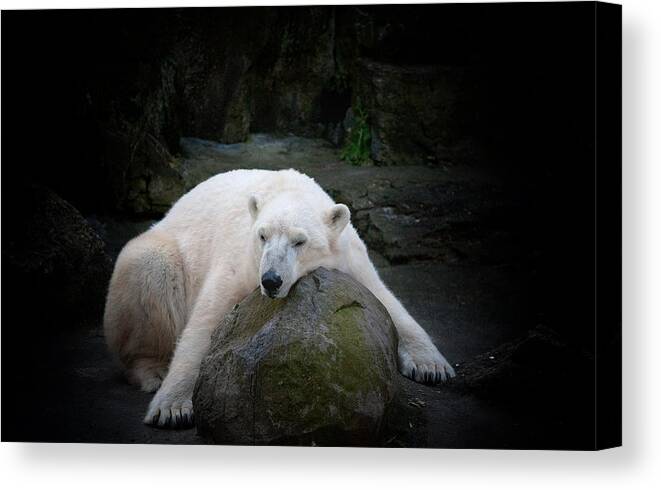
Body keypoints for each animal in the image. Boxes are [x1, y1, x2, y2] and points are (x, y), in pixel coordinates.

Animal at [104, 169, 454, 428]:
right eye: (263, 235)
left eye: (300, 241)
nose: (271, 280)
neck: (288, 189)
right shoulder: (243, 261)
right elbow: (204, 322)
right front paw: (172, 408)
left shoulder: (348, 257)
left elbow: (387, 301)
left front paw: (433, 366)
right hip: (161, 250)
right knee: (149, 272)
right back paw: (153, 371)